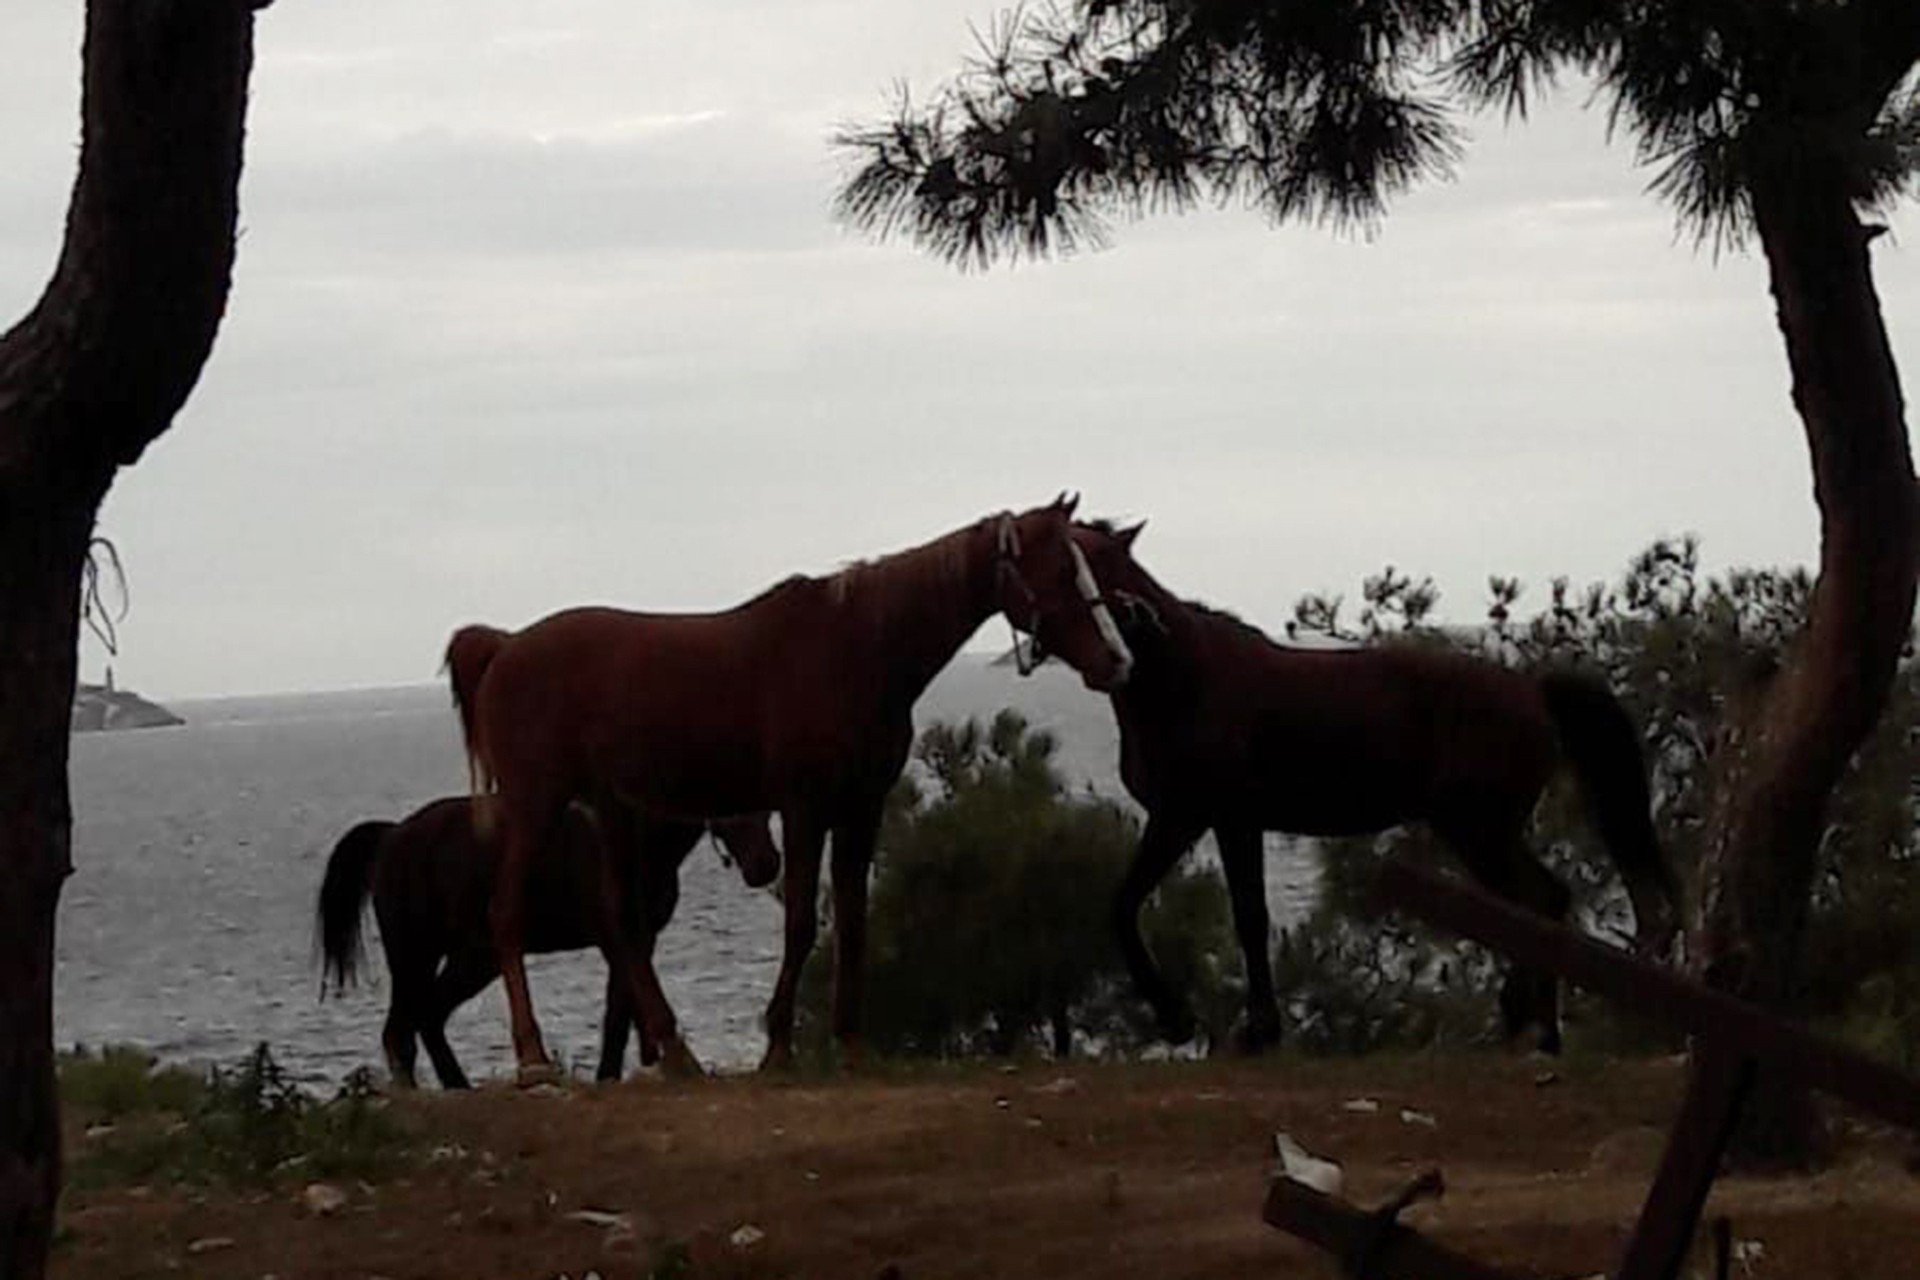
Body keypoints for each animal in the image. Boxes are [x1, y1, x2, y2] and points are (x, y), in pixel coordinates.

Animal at [311, 794, 775, 1090]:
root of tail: (392, 836)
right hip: (414, 954)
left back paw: (458, 1085)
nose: (766, 866)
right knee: (401, 1031)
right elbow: (624, 1012)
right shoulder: (619, 941)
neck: (632, 839)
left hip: (472, 960)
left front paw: (612, 1075)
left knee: (427, 1018)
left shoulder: (639, 941)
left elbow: (620, 1013)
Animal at [441, 495, 1128, 1082]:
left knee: (623, 922)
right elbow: (800, 922)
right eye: (1061, 570)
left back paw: (678, 1053)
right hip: (537, 805)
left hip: (611, 808)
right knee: (508, 912)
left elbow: (853, 921)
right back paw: (533, 1057)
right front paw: (779, 1046)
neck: (856, 649)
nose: (1118, 660)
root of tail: (505, 648)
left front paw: (850, 1043)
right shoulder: (804, 809)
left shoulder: (861, 808)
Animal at [1059, 514, 1674, 1059]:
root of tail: (1534, 692)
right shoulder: (1197, 820)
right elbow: (1163, 907)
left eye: (1093, 564)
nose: (1106, 651)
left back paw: (1537, 1028)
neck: (1184, 679)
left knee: (1540, 899)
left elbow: (1235, 917)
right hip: (1481, 831)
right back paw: (1529, 1023)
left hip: (1480, 829)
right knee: (1535, 903)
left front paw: (1240, 1029)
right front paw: (1212, 1024)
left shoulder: (1211, 818)